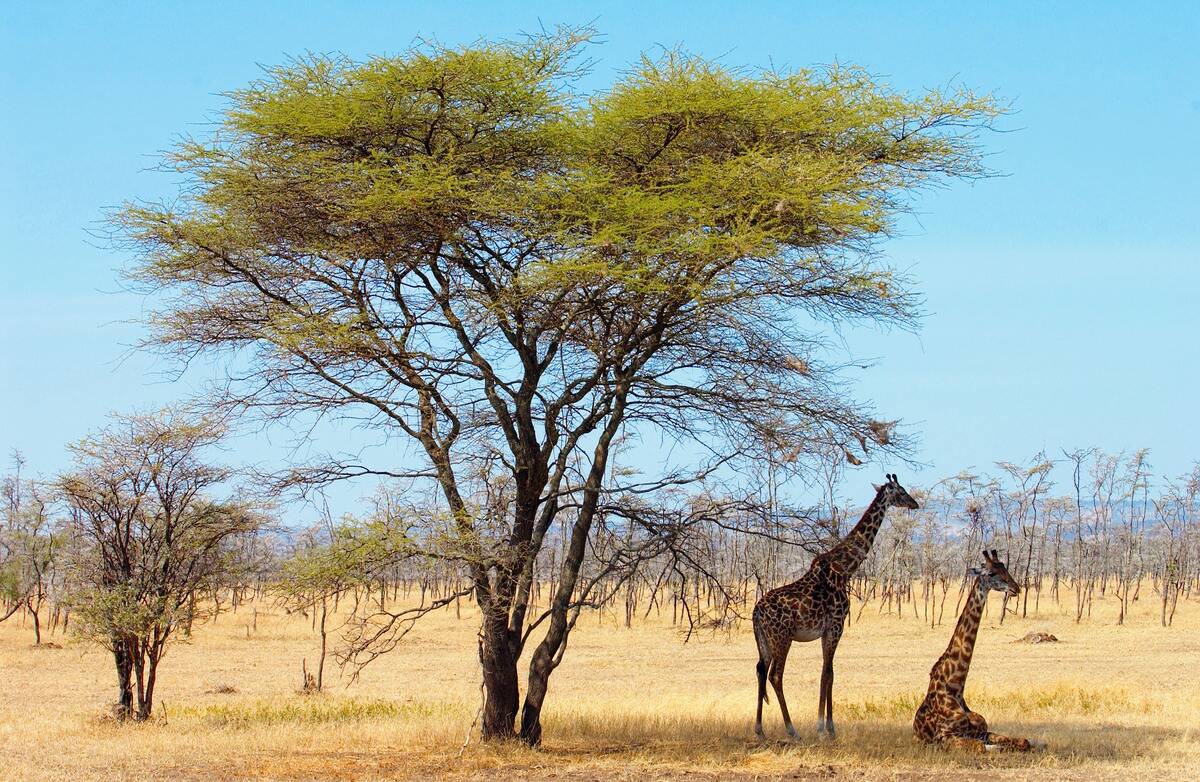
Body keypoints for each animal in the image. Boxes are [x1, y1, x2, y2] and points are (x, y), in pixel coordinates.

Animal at [753, 474, 919, 740]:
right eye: (902, 491)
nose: (915, 504)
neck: (845, 570)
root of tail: (756, 612)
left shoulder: (826, 630)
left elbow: (827, 672)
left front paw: (826, 725)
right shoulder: (836, 625)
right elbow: (829, 673)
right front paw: (825, 726)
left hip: (764, 641)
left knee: (760, 670)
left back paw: (759, 729)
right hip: (782, 638)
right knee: (775, 675)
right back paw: (792, 729)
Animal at [912, 549, 1046, 753]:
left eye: (1005, 568)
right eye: (991, 573)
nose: (1016, 588)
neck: (955, 687)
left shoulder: (981, 731)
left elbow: (1023, 741)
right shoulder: (944, 737)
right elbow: (981, 747)